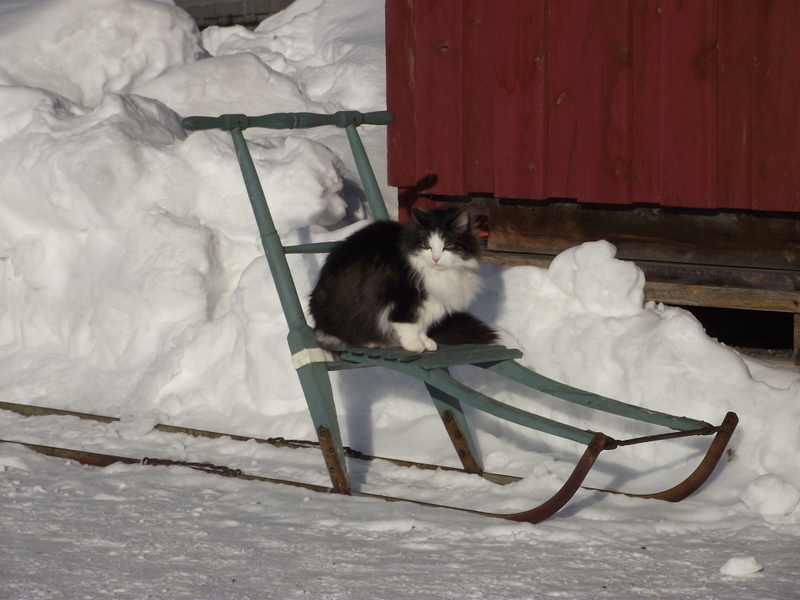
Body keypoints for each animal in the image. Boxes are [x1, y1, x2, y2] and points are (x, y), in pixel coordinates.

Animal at [310, 209, 496, 354]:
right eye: (427, 246)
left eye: (448, 247)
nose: (435, 258)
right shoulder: (403, 299)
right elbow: (408, 325)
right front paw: (414, 344)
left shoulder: (429, 303)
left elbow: (421, 325)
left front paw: (426, 342)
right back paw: (371, 342)